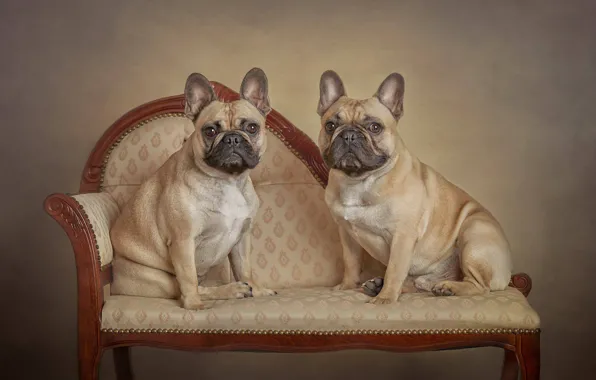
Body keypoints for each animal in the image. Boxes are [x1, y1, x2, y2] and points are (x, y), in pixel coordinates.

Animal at [110, 67, 278, 308]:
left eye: (252, 127)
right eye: (210, 131)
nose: (232, 139)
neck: (227, 180)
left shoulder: (241, 239)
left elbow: (244, 269)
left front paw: (257, 290)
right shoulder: (183, 240)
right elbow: (188, 278)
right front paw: (195, 306)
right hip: (159, 278)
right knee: (189, 288)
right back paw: (226, 291)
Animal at [316, 70, 512, 304]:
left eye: (375, 127)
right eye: (330, 126)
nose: (349, 135)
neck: (359, 180)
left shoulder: (402, 236)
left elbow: (394, 270)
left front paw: (385, 299)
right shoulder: (347, 234)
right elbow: (351, 263)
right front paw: (347, 286)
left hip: (474, 234)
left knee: (480, 287)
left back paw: (448, 288)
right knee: (417, 284)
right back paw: (379, 285)